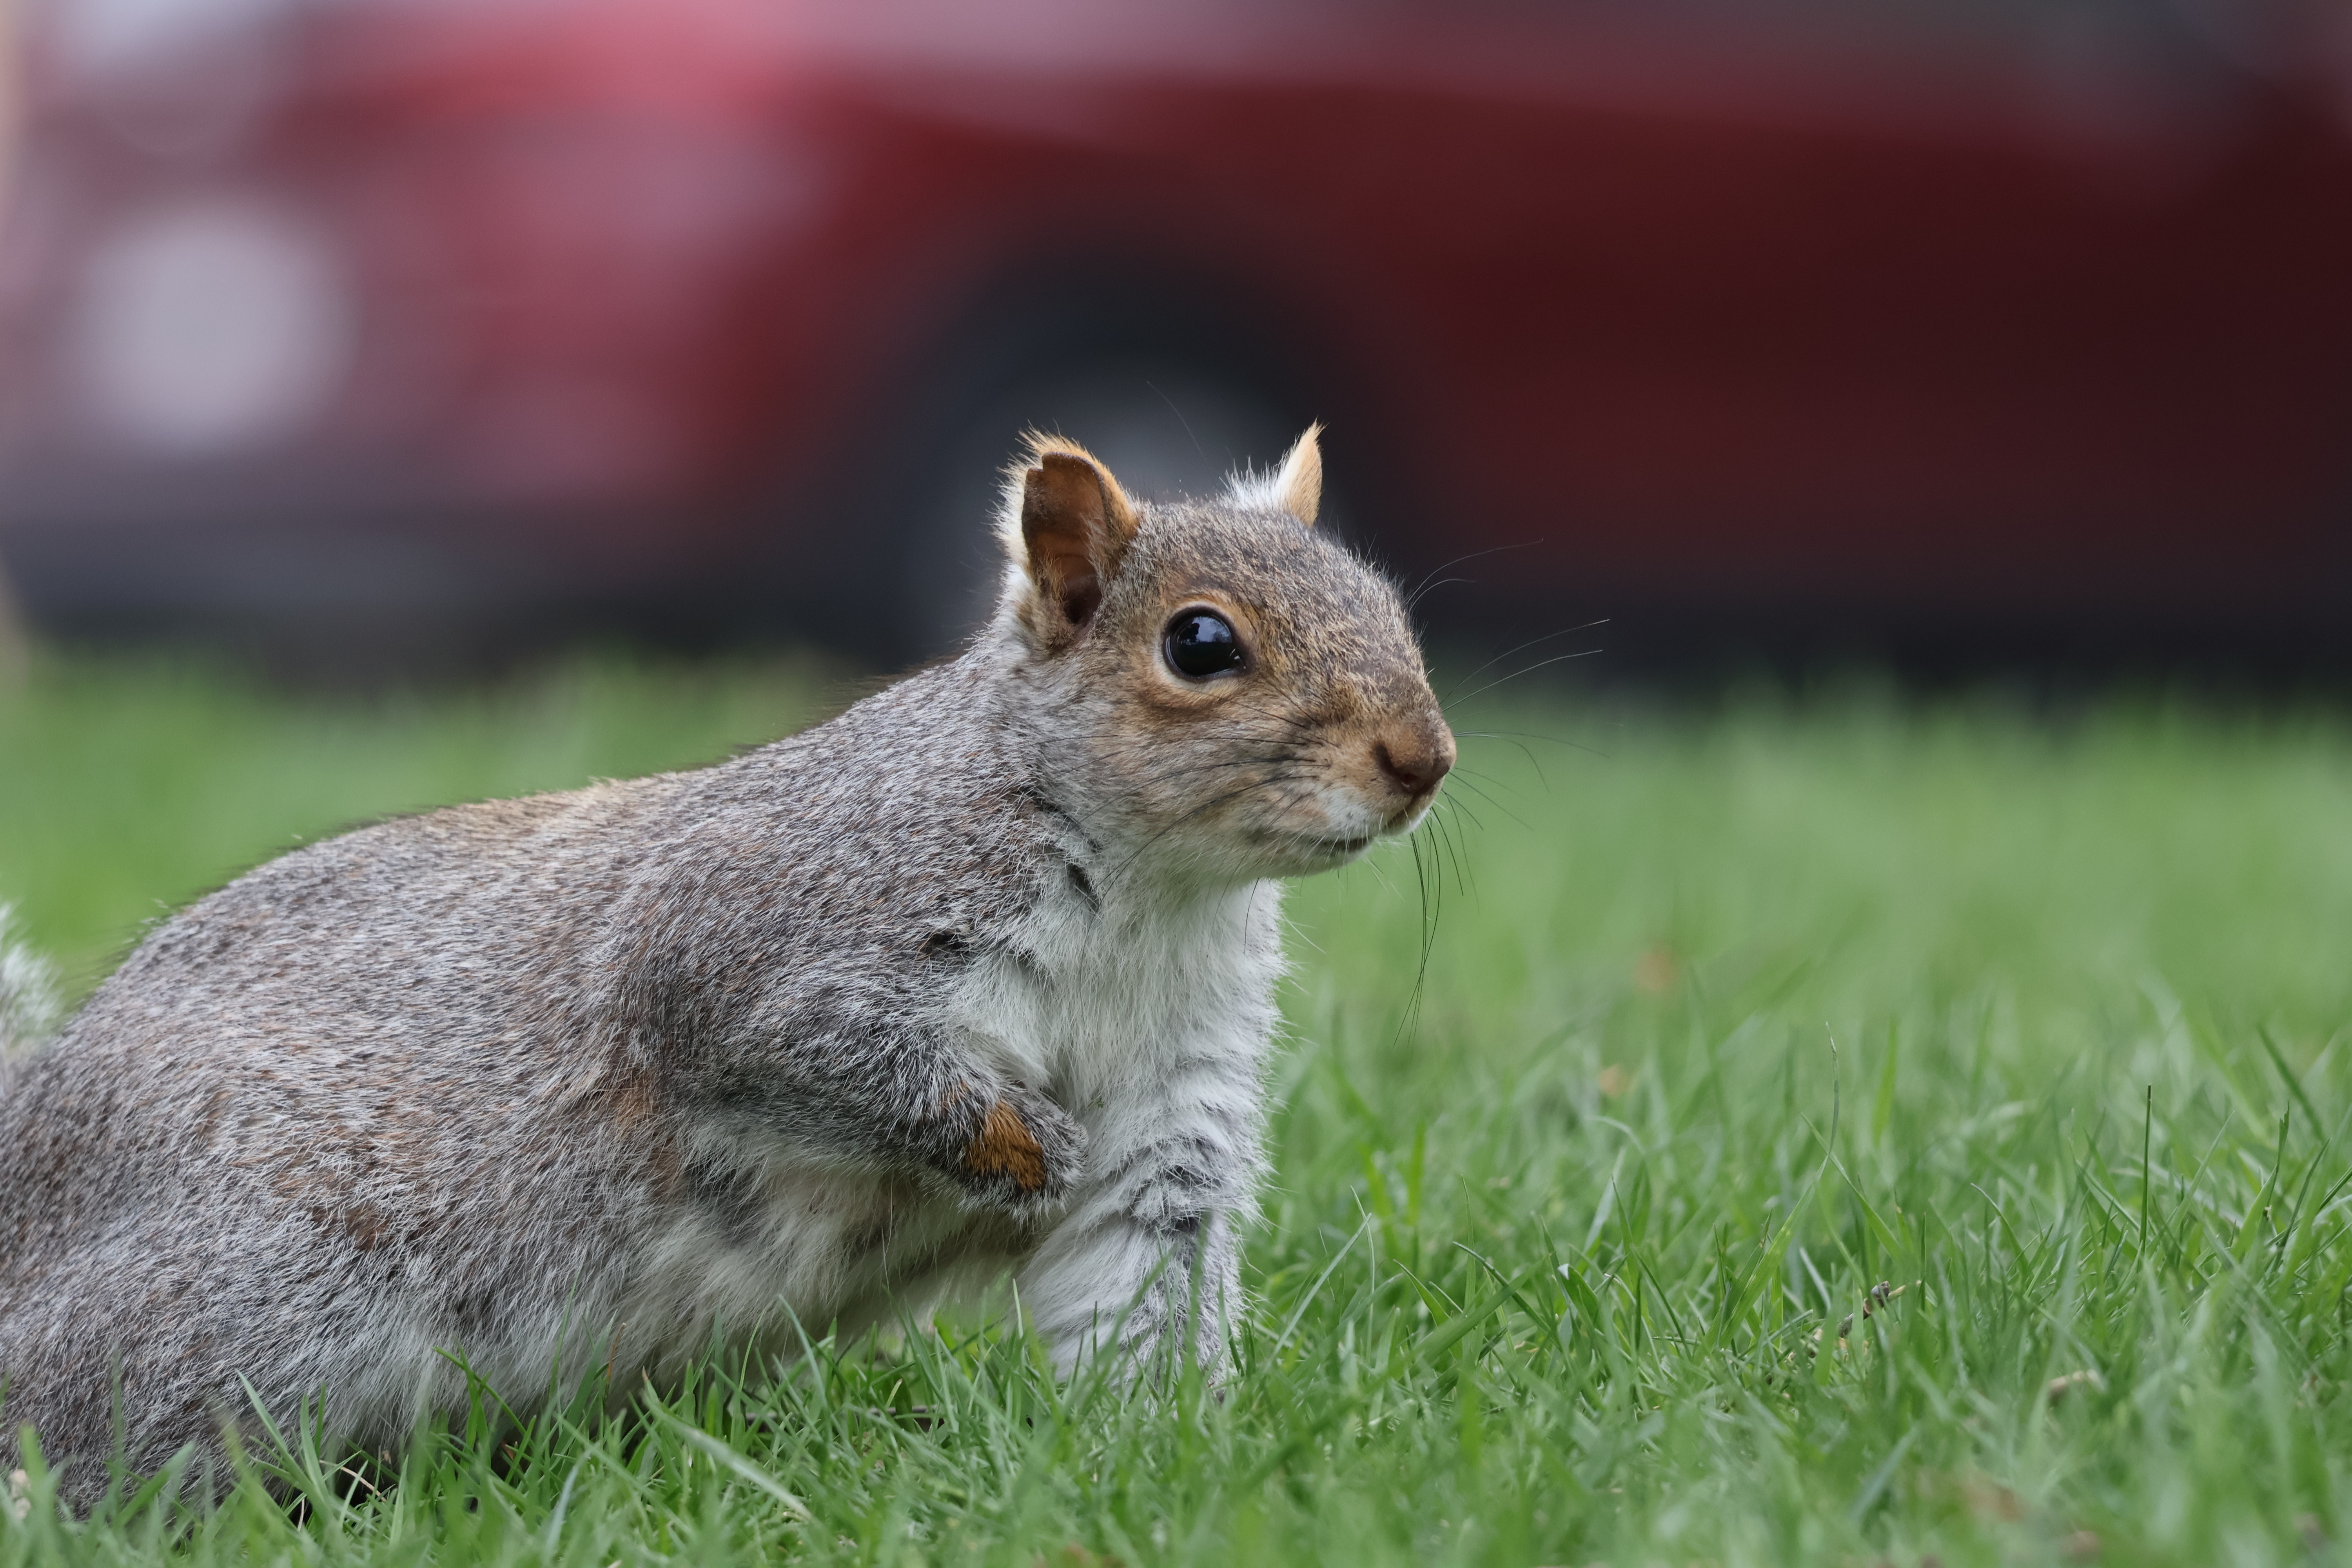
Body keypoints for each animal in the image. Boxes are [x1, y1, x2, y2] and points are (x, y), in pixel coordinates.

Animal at [0, 427, 1454, 1503]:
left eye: (1388, 602)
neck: (1154, 898)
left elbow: (1138, 1287)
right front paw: (1016, 1144)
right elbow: (819, 1058)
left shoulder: (1173, 1106)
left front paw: (1171, 1464)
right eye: (1200, 645)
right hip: (250, 1299)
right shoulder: (763, 950)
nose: (1425, 760)